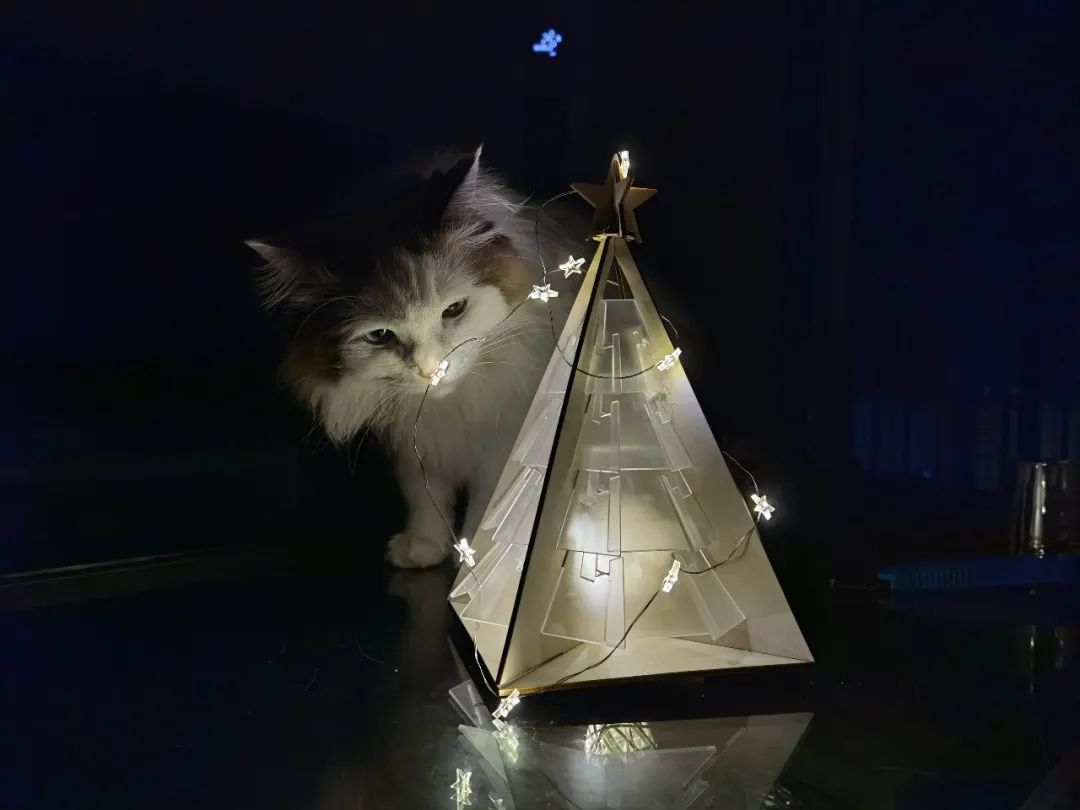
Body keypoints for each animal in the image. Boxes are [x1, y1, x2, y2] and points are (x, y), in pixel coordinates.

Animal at [247, 149, 574, 567]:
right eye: (379, 335)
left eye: (454, 310)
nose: (431, 369)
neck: (452, 409)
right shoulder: (414, 450)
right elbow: (425, 499)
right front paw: (425, 546)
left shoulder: (502, 446)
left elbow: (487, 507)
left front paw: (473, 559)